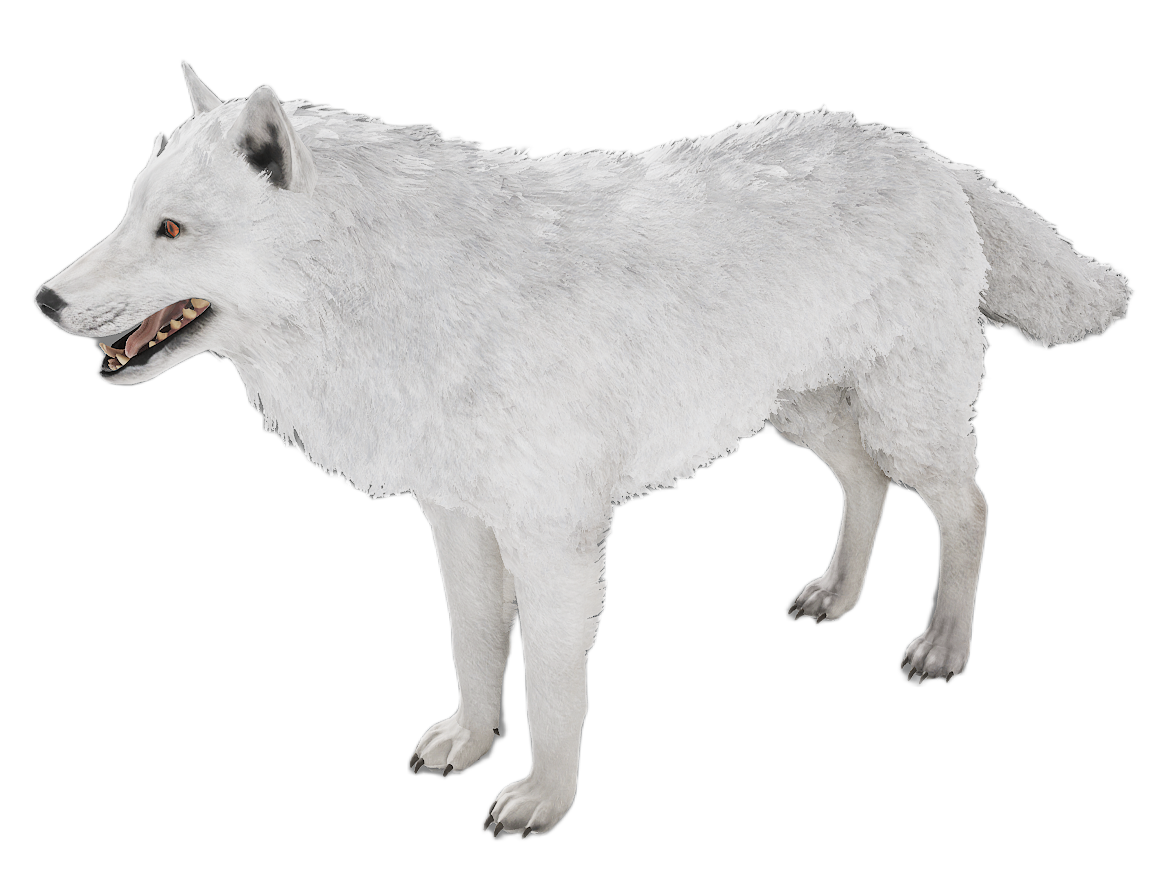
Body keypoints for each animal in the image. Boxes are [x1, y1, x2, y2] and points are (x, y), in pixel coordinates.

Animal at [33, 61, 1133, 838]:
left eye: (173, 230)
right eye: (131, 213)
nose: (42, 299)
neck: (403, 289)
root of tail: (927, 155)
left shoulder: (555, 536)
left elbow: (557, 683)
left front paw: (542, 800)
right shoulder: (458, 520)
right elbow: (477, 646)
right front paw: (470, 742)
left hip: (903, 416)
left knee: (968, 506)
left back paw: (941, 646)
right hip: (795, 413)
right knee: (864, 481)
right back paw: (833, 595)